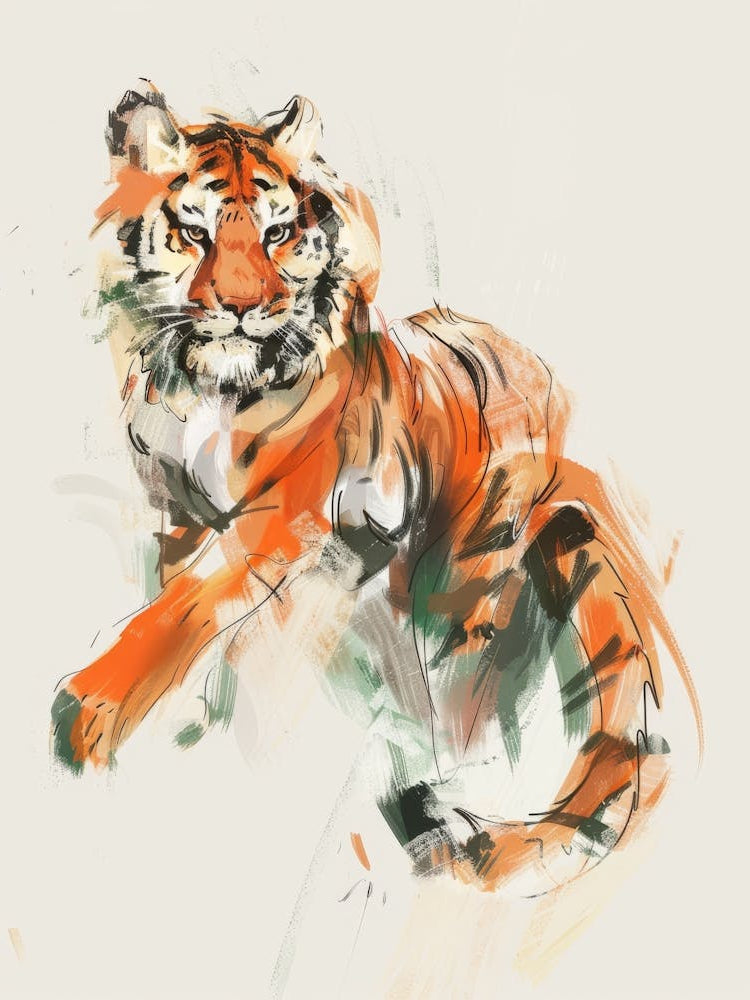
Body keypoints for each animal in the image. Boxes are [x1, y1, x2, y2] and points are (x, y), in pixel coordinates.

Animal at [51, 80, 702, 894]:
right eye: (194, 232)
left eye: (277, 233)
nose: (242, 308)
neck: (207, 386)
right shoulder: (179, 512)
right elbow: (182, 604)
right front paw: (192, 715)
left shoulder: (279, 514)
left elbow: (186, 604)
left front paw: (90, 713)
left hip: (466, 574)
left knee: (466, 684)